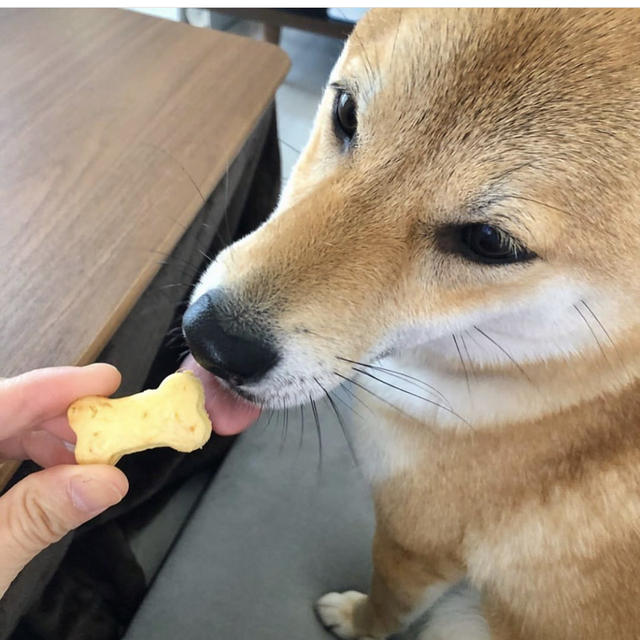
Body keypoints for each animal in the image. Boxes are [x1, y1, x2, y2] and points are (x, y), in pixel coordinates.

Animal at [181, 10, 640, 640]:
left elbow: (386, 604)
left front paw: (353, 618)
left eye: (489, 242)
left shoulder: (412, 543)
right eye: (345, 111)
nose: (213, 342)